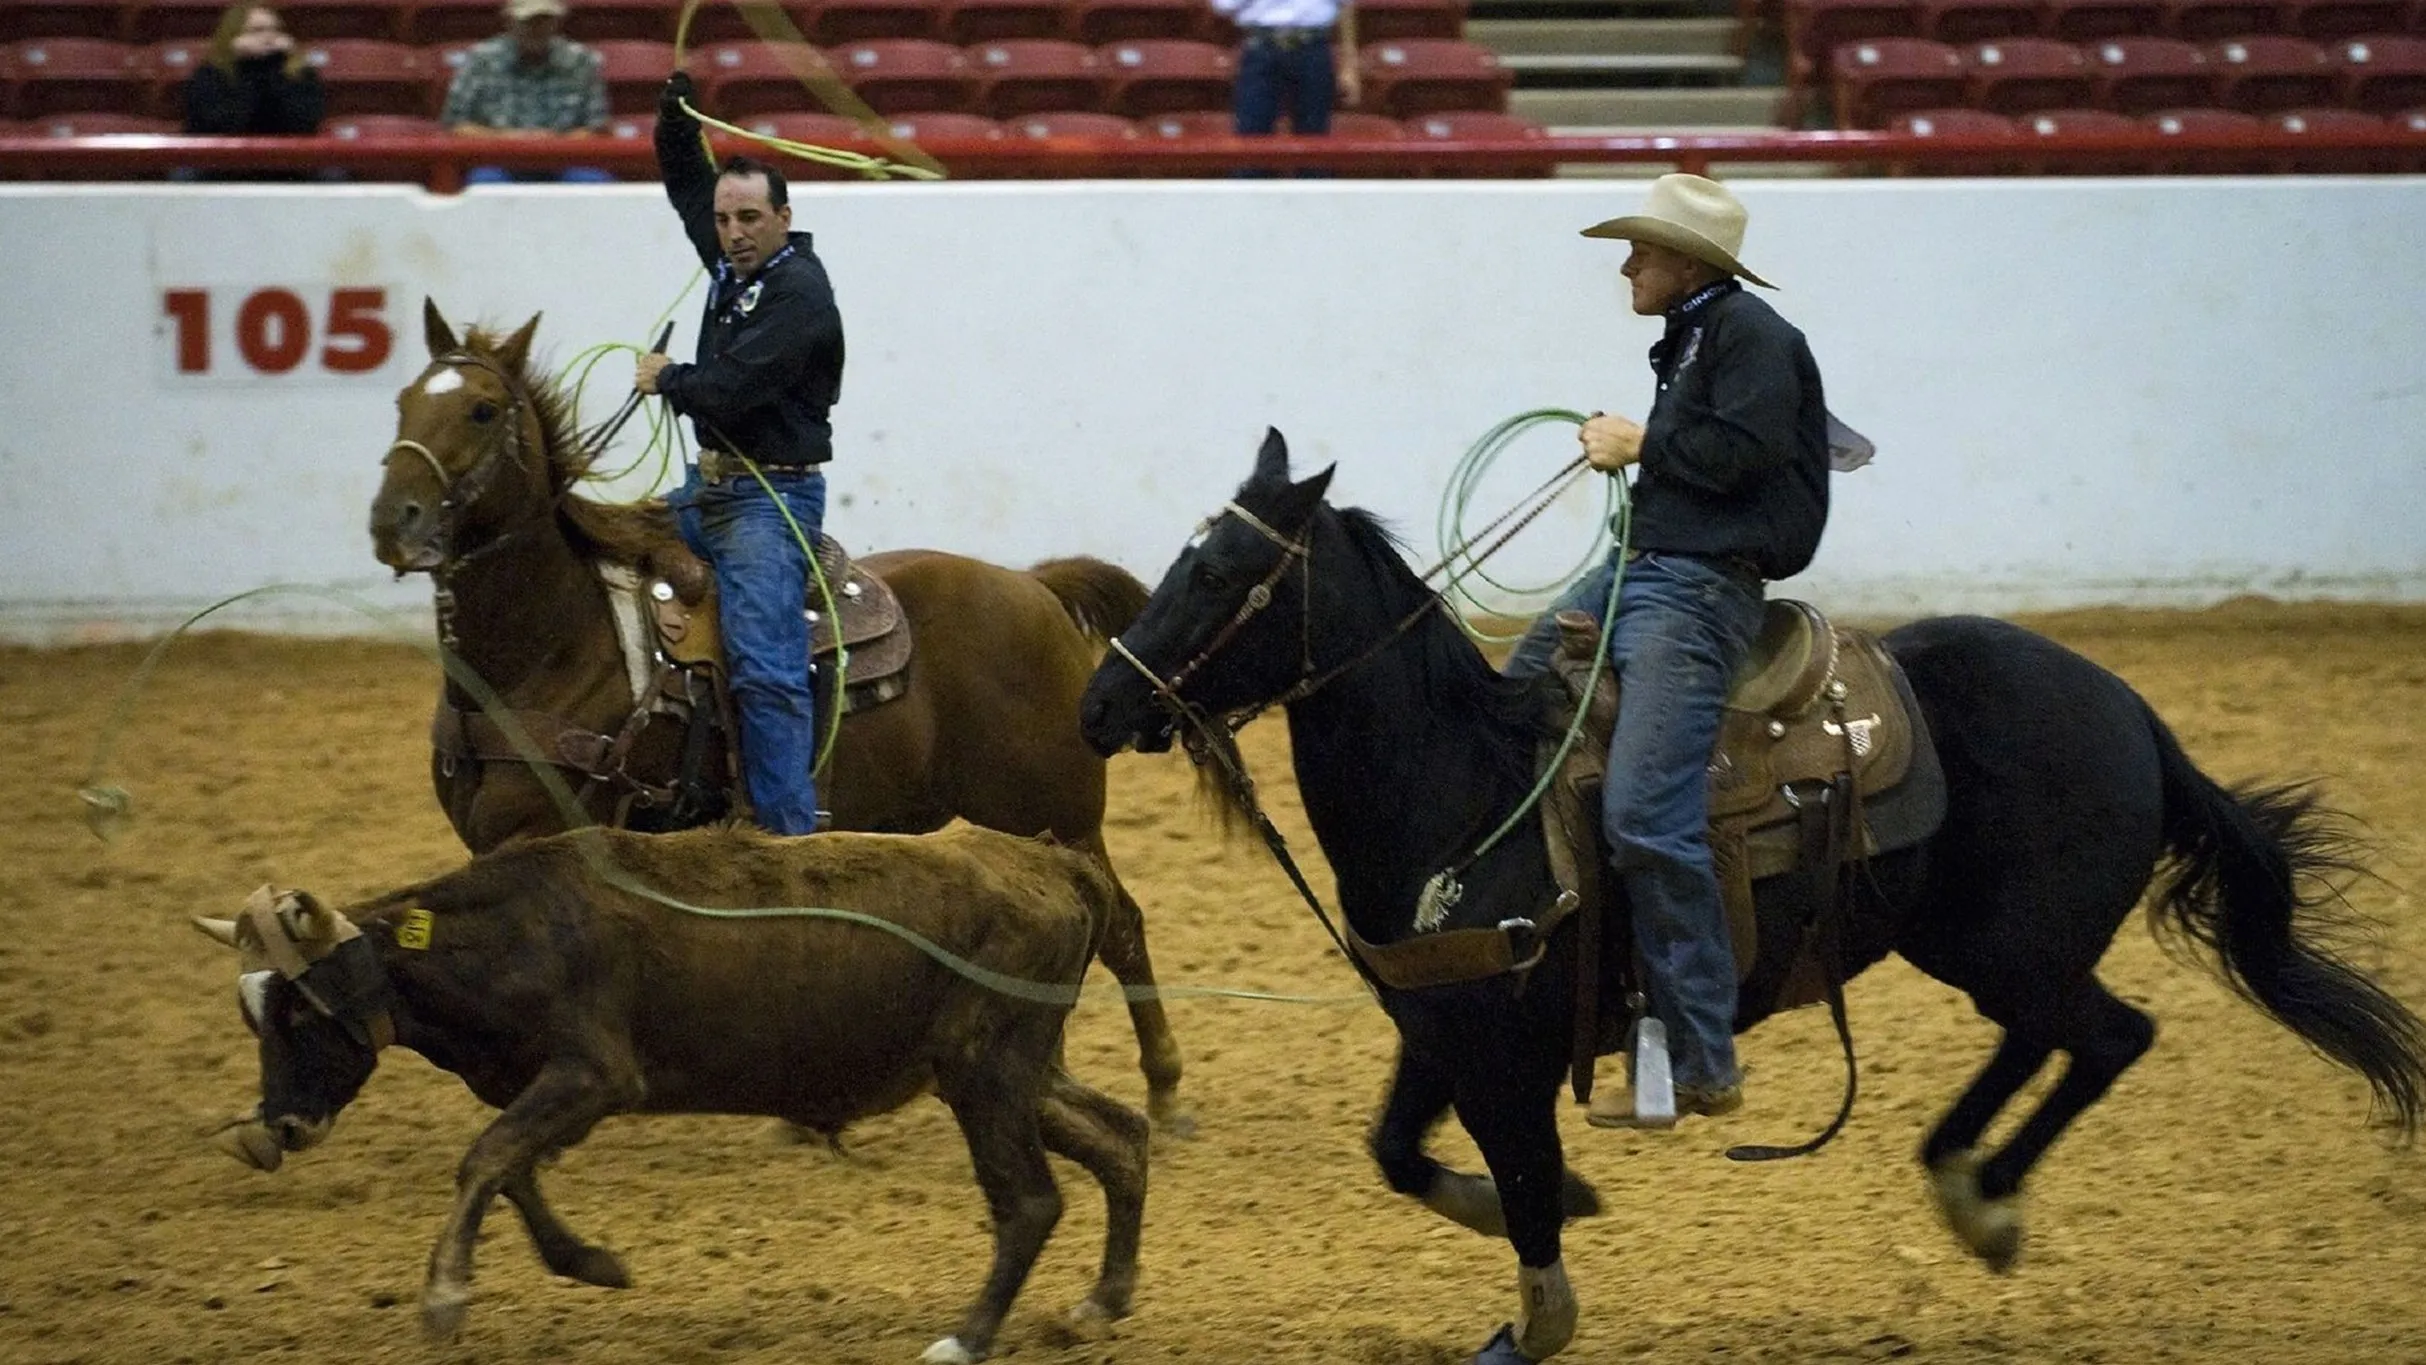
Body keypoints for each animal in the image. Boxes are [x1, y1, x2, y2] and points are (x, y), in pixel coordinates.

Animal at [366, 301, 1183, 1134]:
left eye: (481, 409)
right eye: (402, 402)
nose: (393, 520)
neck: (555, 641)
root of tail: (1032, 584)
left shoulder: (542, 834)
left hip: (1057, 810)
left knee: (1121, 925)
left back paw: (1163, 1084)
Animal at [1086, 431, 2426, 1357]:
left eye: (1223, 572)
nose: (1101, 704)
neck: (1464, 786)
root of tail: (2135, 712)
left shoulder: (1507, 1054)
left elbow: (1519, 1196)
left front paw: (1540, 1287)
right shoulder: (1439, 1027)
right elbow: (1400, 1158)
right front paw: (1565, 1201)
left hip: (2010, 946)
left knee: (2105, 1034)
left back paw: (1983, 1197)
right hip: (1974, 945)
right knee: (2054, 1038)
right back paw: (1961, 1177)